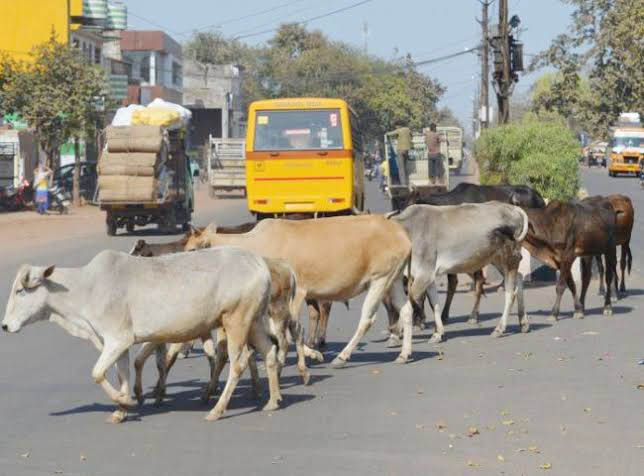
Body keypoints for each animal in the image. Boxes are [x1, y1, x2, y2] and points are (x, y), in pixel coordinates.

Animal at [1, 247, 280, 422]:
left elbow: (97, 373)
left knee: (238, 363)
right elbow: (122, 373)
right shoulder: (119, 344)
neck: (86, 287)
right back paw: (273, 400)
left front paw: (128, 401)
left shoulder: (116, 339)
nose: (4, 326)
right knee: (269, 352)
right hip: (254, 322)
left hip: (236, 321)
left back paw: (217, 409)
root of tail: (259, 264)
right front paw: (122, 409)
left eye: (20, 291)